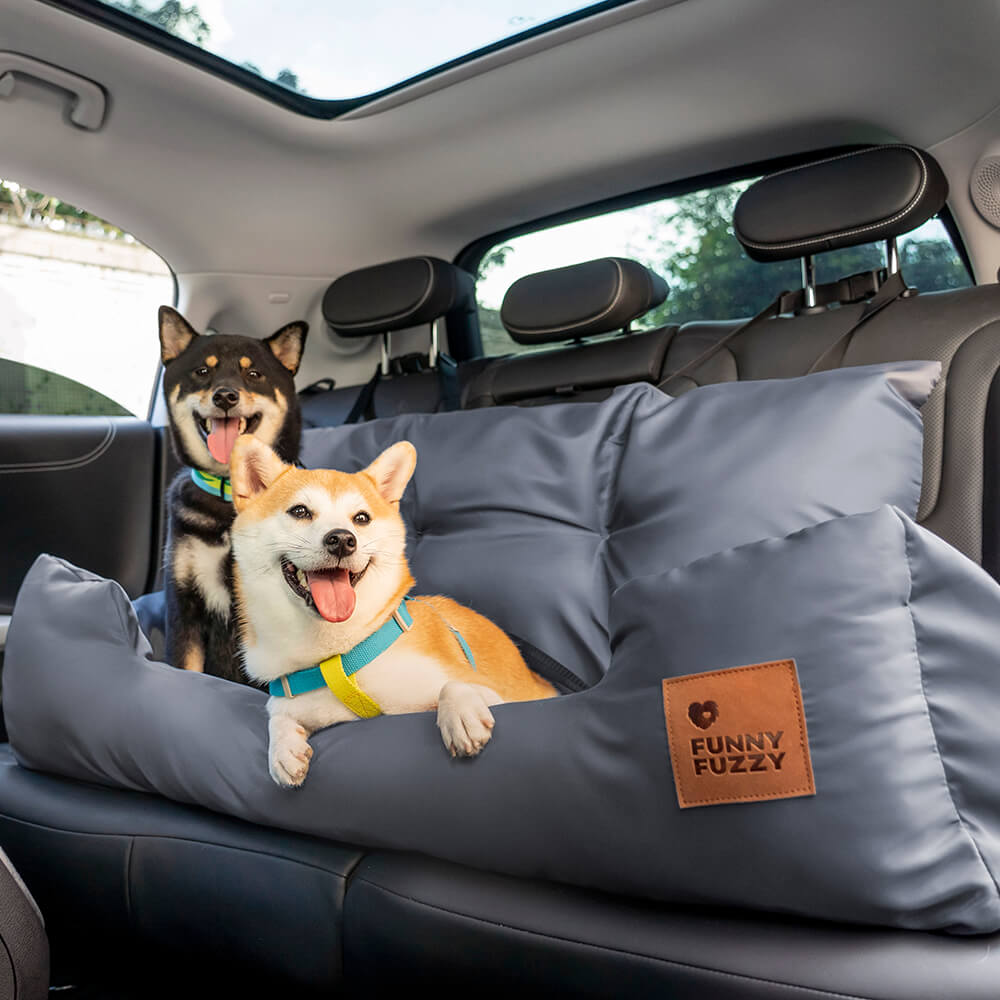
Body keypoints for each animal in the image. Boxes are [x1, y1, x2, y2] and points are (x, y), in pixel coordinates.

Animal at [229, 434, 556, 784]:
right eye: (300, 511)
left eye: (361, 518)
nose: (342, 539)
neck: (338, 655)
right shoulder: (313, 706)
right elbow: (276, 712)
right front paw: (283, 747)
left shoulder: (501, 696)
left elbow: (454, 685)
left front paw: (461, 713)